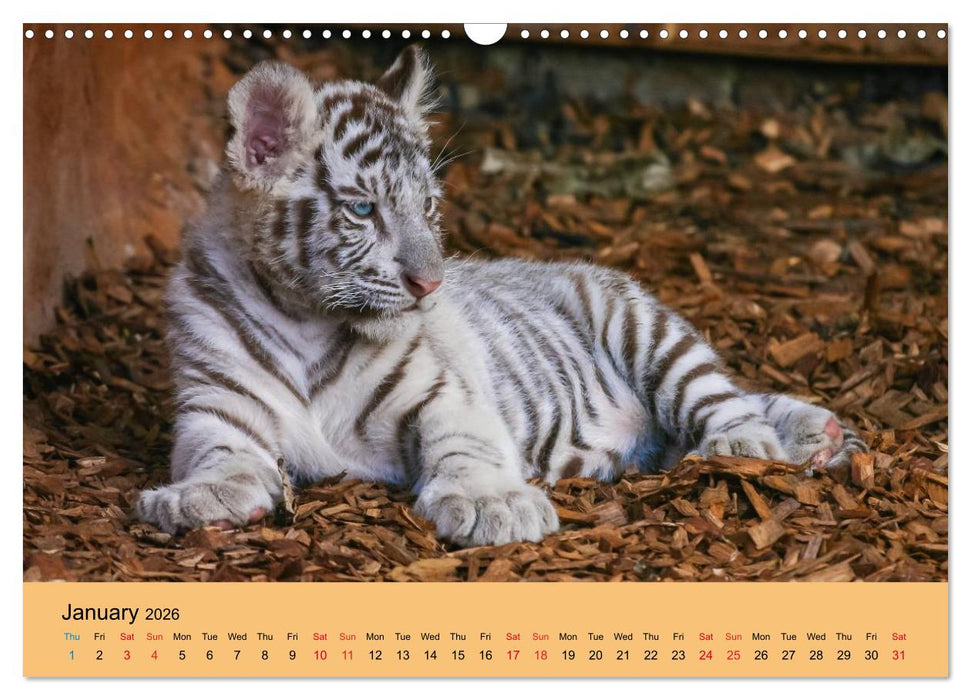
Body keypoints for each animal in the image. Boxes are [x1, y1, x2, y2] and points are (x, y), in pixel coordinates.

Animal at [135, 46, 867, 546]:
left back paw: (764, 443)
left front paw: (495, 504)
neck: (306, 322)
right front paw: (199, 498)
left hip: (643, 329)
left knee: (723, 400)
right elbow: (219, 455)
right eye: (364, 209)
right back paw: (815, 434)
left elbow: (466, 445)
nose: (431, 284)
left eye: (428, 206)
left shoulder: (444, 395)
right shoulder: (215, 408)